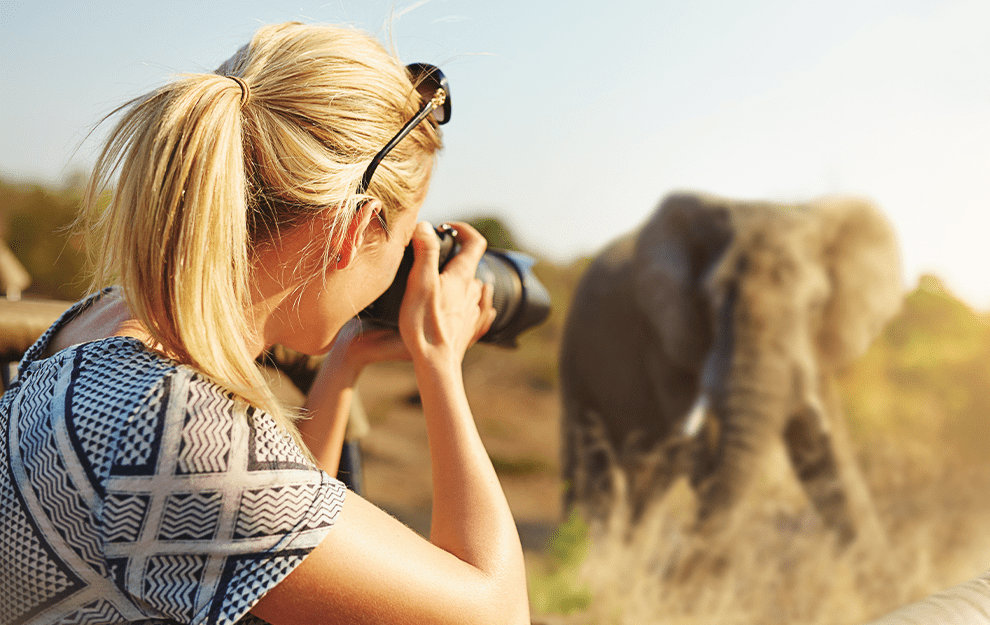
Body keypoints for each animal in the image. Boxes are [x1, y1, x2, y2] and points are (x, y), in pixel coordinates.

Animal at [559, 191, 902, 546]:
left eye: (816, 306)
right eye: (711, 298)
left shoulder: (814, 348)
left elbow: (821, 451)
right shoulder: (668, 342)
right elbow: (706, 453)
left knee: (650, 487)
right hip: (576, 365)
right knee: (594, 473)